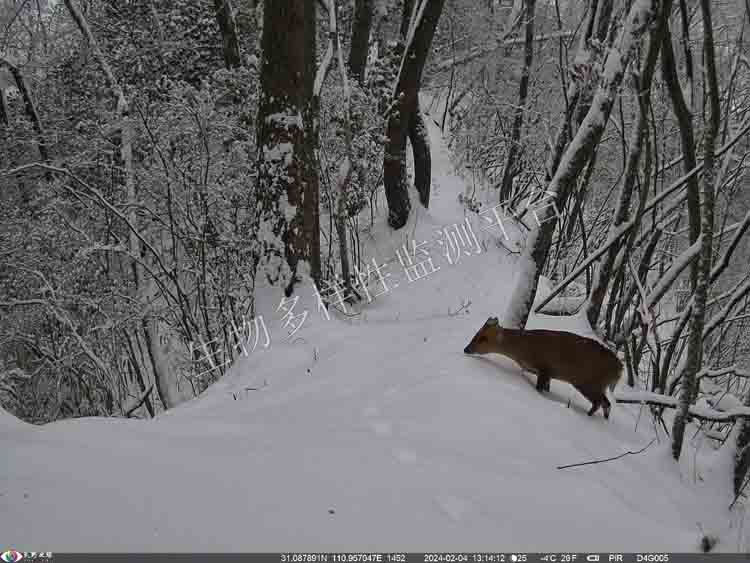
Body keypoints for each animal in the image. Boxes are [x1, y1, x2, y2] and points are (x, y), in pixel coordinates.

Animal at [464, 318, 624, 418]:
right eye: (476, 334)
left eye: (483, 338)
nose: (466, 349)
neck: (524, 348)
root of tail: (619, 369)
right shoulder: (548, 374)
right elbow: (546, 388)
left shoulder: (545, 369)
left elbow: (539, 388)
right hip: (595, 385)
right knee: (606, 404)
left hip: (589, 383)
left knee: (601, 403)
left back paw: (587, 416)